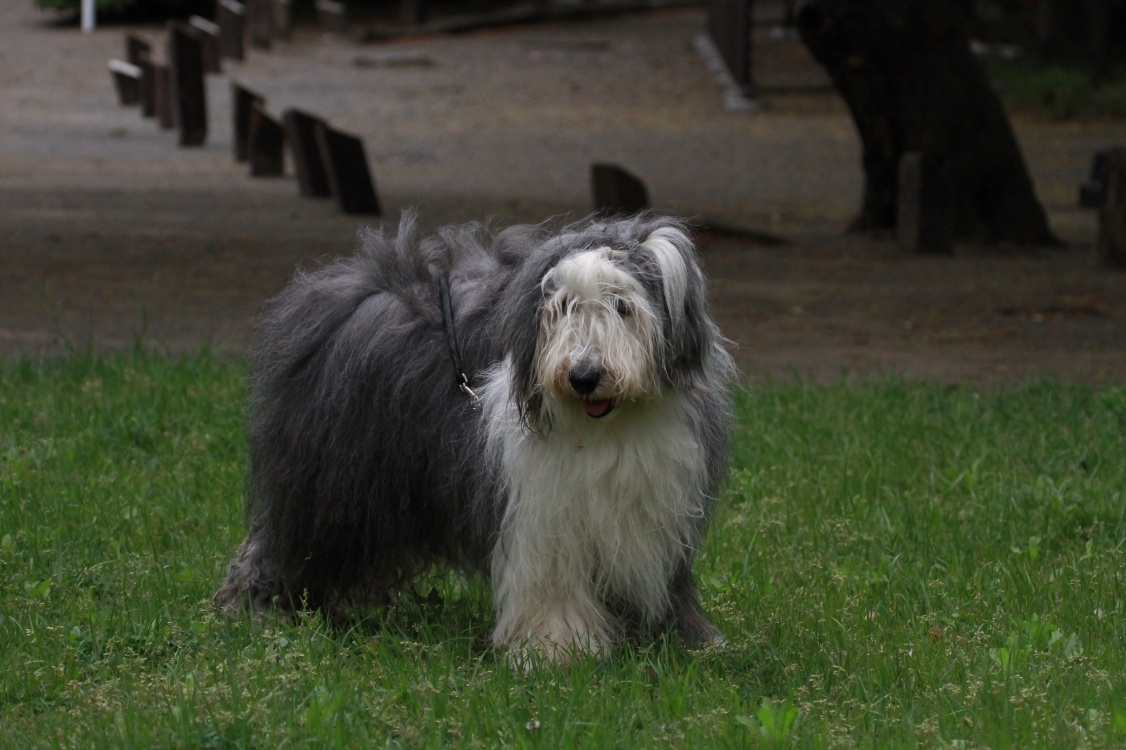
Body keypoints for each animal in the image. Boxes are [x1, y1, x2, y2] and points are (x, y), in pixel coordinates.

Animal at [214, 211, 735, 664]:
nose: (584, 376)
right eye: (562, 307)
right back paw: (256, 608)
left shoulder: (654, 507)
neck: (607, 428)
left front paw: (683, 640)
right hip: (328, 482)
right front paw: (555, 649)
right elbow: (550, 581)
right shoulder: (538, 510)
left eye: (622, 306)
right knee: (281, 540)